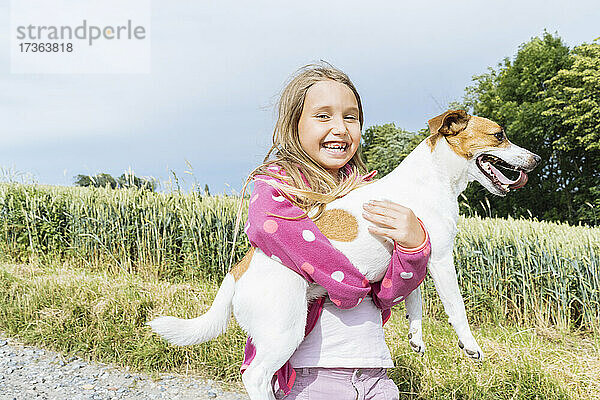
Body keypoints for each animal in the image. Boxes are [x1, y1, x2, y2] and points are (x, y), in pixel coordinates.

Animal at [148, 110, 540, 400]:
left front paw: (416, 337)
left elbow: (414, 302)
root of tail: (238, 271)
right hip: (283, 331)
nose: (537, 159)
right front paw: (470, 345)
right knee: (255, 376)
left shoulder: (417, 255)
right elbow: (456, 308)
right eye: (499, 135)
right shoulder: (442, 258)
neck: (434, 177)